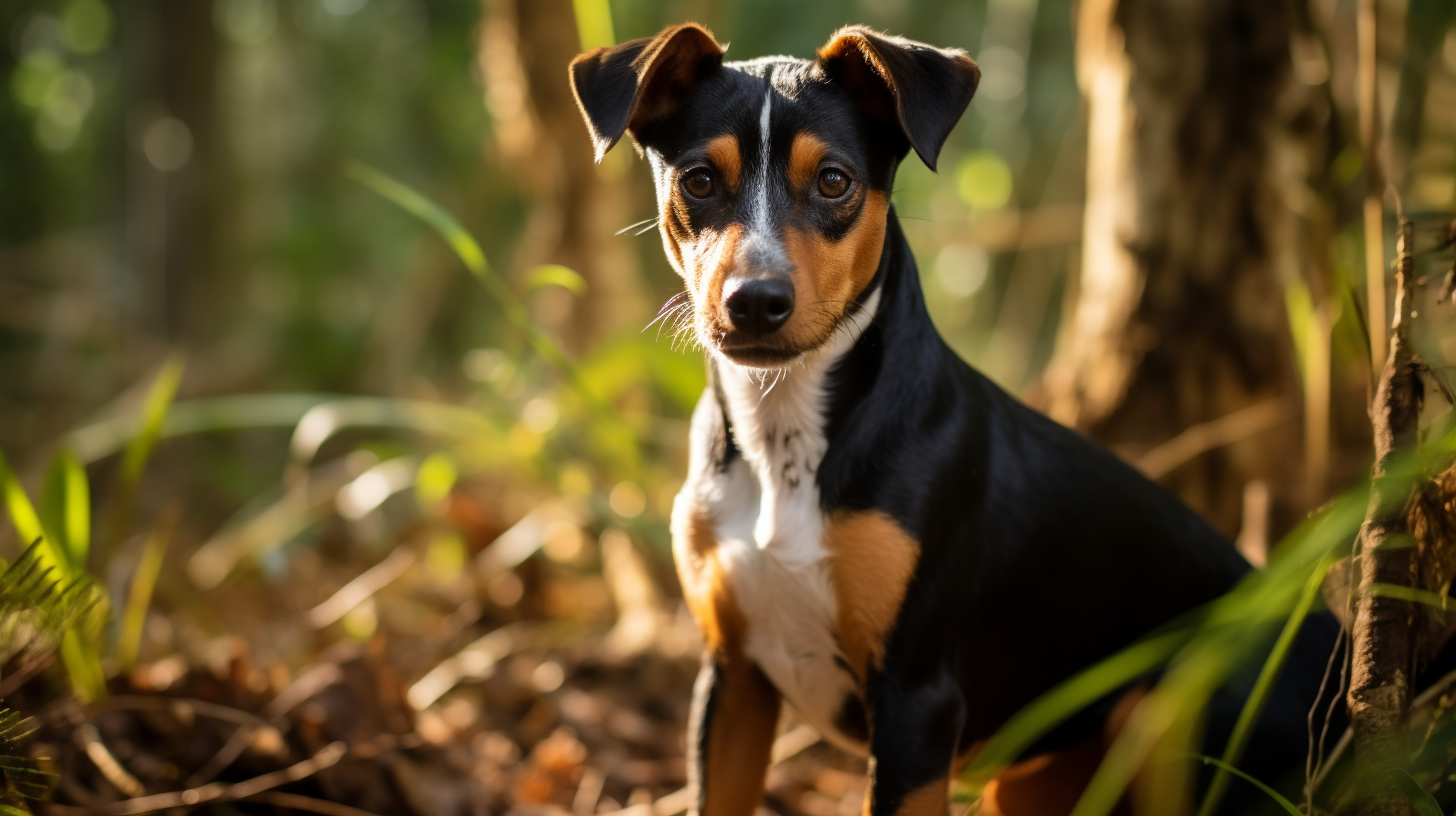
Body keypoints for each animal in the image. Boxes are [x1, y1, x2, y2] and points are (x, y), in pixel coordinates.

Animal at [567, 22, 1339, 816]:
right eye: (697, 180)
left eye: (835, 181)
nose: (755, 299)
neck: (785, 439)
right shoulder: (733, 680)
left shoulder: (916, 700)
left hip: (1173, 713)